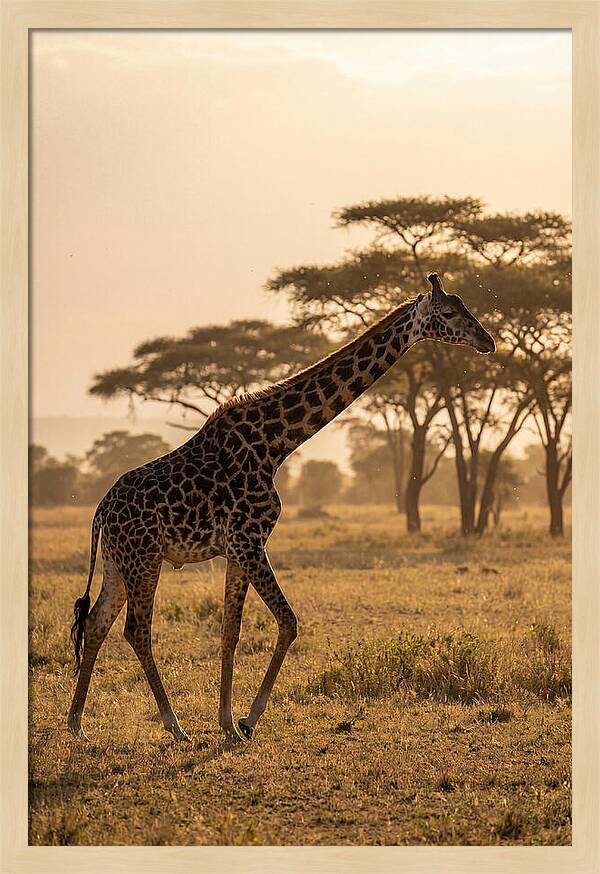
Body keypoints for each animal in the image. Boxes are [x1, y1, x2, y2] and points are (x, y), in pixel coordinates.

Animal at [67, 273, 495, 744]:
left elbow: (230, 631)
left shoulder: (238, 549)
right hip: (144, 558)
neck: (276, 444)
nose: (488, 341)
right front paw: (248, 719)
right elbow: (288, 622)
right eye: (450, 312)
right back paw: (174, 726)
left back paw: (77, 724)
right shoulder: (249, 540)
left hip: (118, 562)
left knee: (96, 622)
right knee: (136, 629)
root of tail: (101, 511)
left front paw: (228, 724)